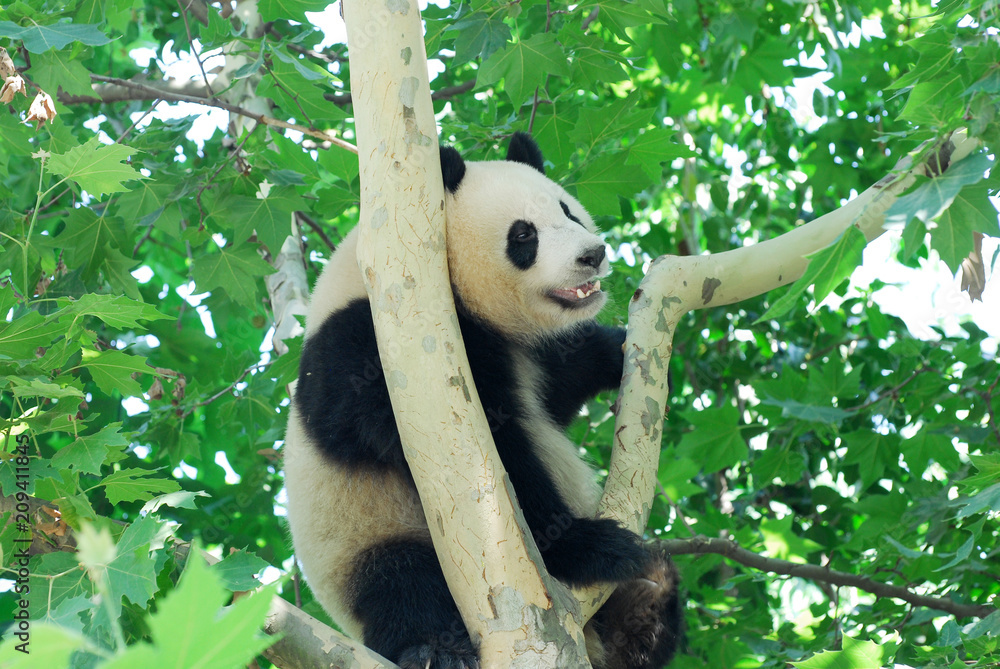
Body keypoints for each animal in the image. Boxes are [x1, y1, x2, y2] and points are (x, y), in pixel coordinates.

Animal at [284, 133, 682, 669]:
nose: (593, 254)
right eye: (523, 235)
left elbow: (557, 388)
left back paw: (650, 602)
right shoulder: (371, 349)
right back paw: (435, 650)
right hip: (364, 536)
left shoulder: (523, 353)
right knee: (402, 585)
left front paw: (616, 352)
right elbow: (492, 459)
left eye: (569, 211)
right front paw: (585, 547)